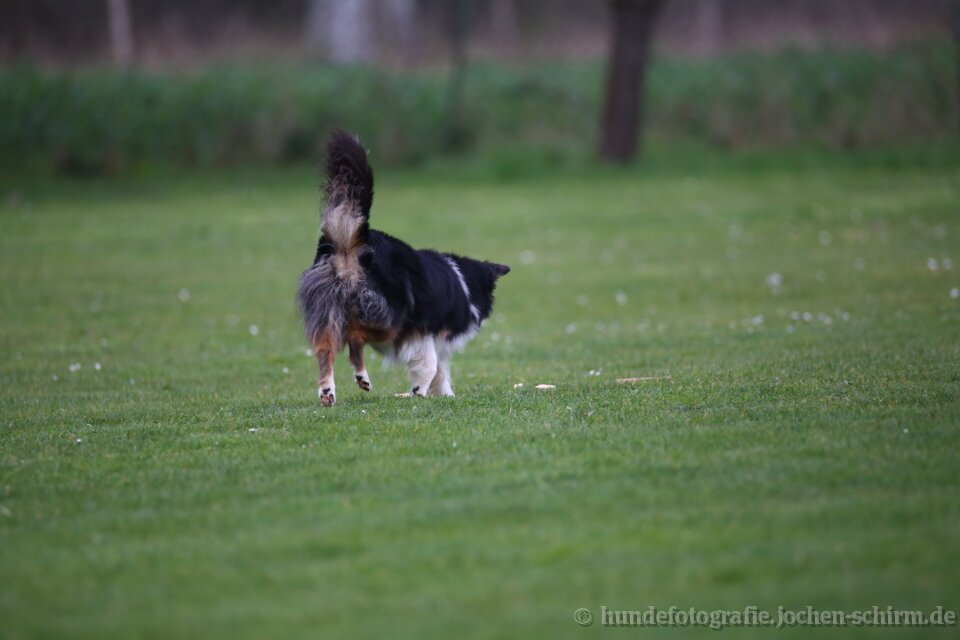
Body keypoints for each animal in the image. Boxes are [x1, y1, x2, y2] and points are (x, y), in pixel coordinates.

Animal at [297, 130, 510, 406]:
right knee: (354, 335)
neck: (464, 281)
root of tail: (350, 241)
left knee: (326, 351)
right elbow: (431, 366)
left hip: (328, 310)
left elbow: (441, 370)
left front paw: (444, 394)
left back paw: (332, 390)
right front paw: (420, 390)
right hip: (388, 316)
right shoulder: (423, 331)